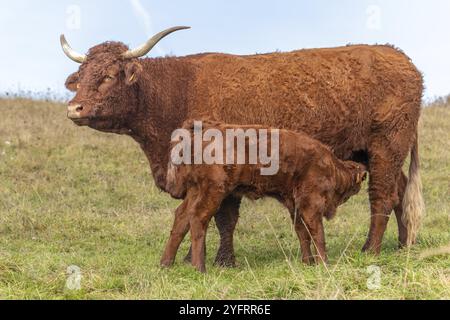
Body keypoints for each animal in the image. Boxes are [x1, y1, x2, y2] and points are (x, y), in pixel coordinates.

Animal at [163, 120, 368, 272]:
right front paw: (324, 264)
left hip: (195, 190)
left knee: (182, 217)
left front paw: (307, 262)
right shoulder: (311, 204)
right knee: (198, 218)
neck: (332, 167)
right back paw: (199, 268)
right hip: (212, 192)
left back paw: (166, 264)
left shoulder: (294, 205)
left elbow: (302, 233)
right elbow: (317, 233)